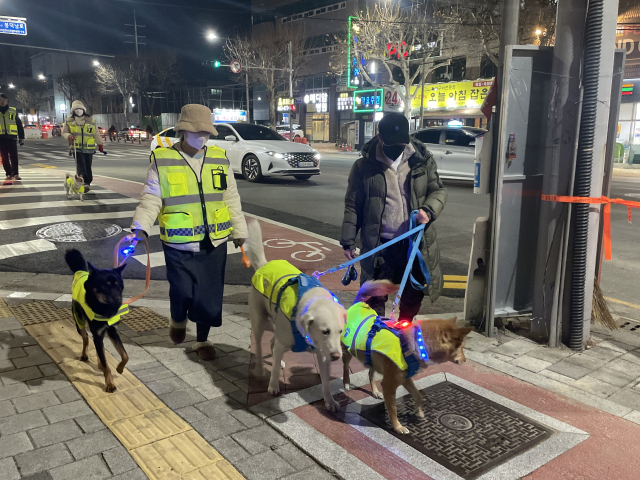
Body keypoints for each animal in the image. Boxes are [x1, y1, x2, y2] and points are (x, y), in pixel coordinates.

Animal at [65, 249, 129, 392]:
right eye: (105, 286)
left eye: (118, 286)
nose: (117, 299)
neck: (105, 309)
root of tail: (82, 271)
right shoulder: (98, 333)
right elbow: (106, 365)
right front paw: (109, 383)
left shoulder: (112, 331)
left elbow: (125, 355)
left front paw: (119, 368)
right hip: (79, 321)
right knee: (86, 338)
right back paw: (84, 355)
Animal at [245, 221, 348, 412]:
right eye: (325, 331)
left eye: (340, 331)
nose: (337, 356)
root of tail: (264, 265)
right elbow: (274, 370)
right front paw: (273, 386)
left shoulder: (323, 355)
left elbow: (326, 383)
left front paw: (330, 401)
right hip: (259, 322)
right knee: (261, 345)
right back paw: (261, 369)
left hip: (276, 325)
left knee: (273, 344)